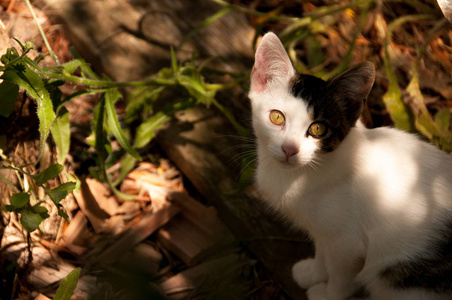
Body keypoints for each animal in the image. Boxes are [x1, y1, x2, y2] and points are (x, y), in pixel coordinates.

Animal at [249, 31, 452, 298]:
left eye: (318, 129)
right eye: (276, 117)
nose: (289, 149)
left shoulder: (347, 244)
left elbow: (340, 276)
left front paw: (327, 294)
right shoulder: (325, 234)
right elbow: (322, 250)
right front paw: (313, 273)